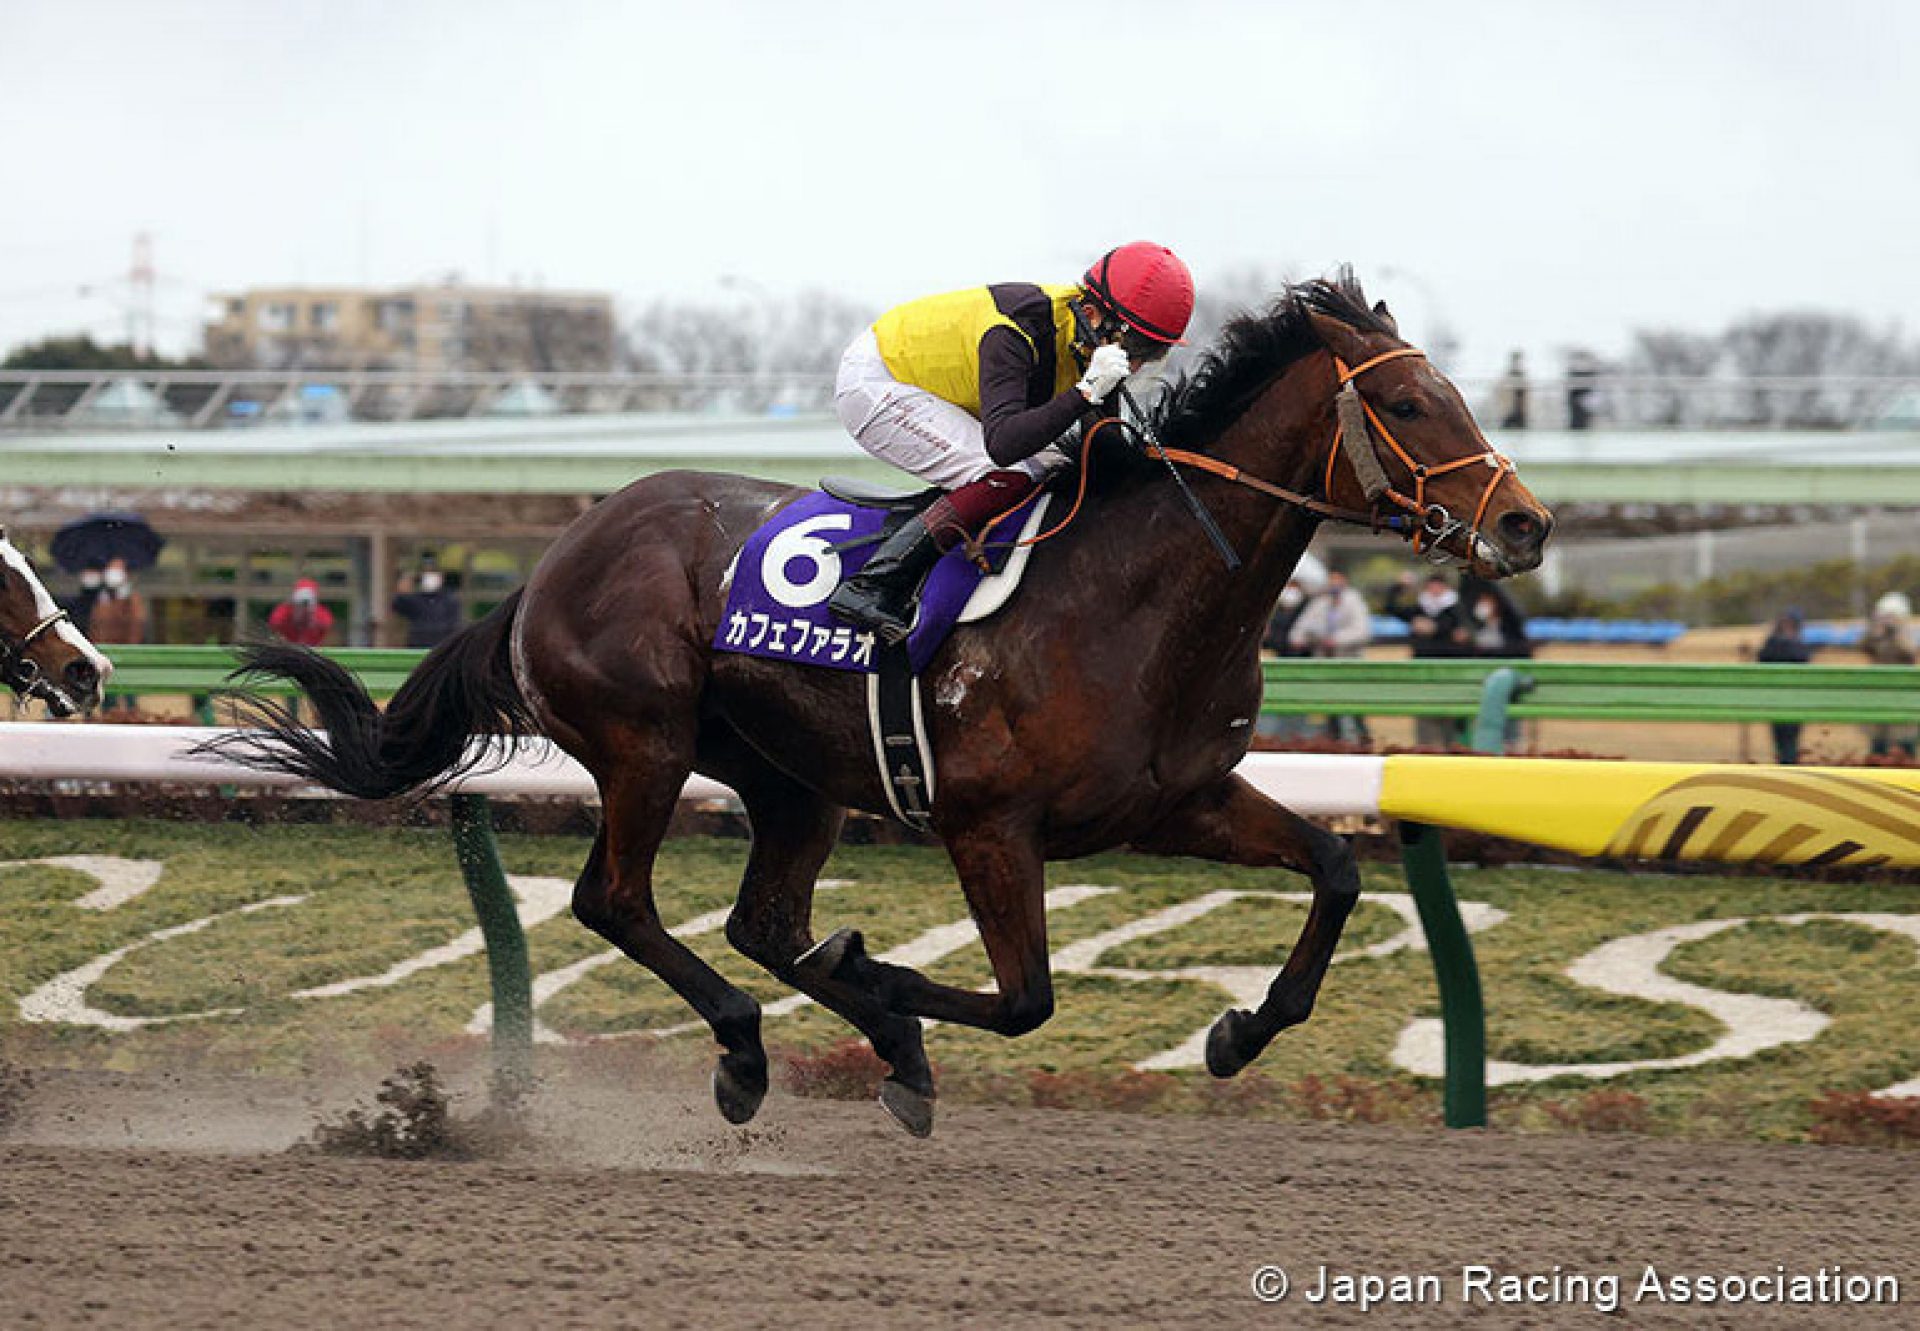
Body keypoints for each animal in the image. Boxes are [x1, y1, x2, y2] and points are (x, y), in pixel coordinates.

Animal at [214, 270, 1559, 1129]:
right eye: (1408, 403)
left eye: (1454, 392)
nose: (1527, 524)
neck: (1141, 591)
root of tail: (552, 558)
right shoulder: (987, 823)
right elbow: (1023, 999)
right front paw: (885, 986)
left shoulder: (1178, 798)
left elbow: (1332, 870)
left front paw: (1239, 1031)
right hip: (644, 740)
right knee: (618, 900)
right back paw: (756, 1045)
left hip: (789, 777)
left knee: (760, 920)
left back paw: (826, 1031)